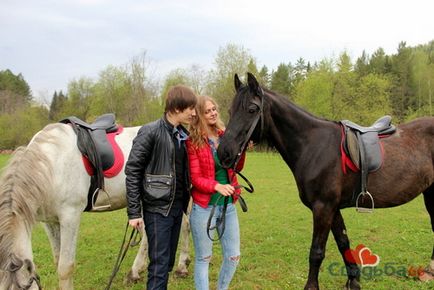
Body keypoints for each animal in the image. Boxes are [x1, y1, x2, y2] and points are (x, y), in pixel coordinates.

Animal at [0, 123, 190, 290]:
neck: (51, 166)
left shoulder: (70, 217)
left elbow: (65, 267)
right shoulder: (49, 222)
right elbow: (57, 259)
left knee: (184, 225)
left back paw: (181, 267)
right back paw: (136, 272)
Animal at [219, 72, 434, 290]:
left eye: (252, 109)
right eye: (230, 110)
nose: (224, 152)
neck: (313, 145)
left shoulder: (323, 207)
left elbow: (316, 251)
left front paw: (311, 286)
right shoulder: (333, 208)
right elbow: (343, 243)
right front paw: (353, 281)